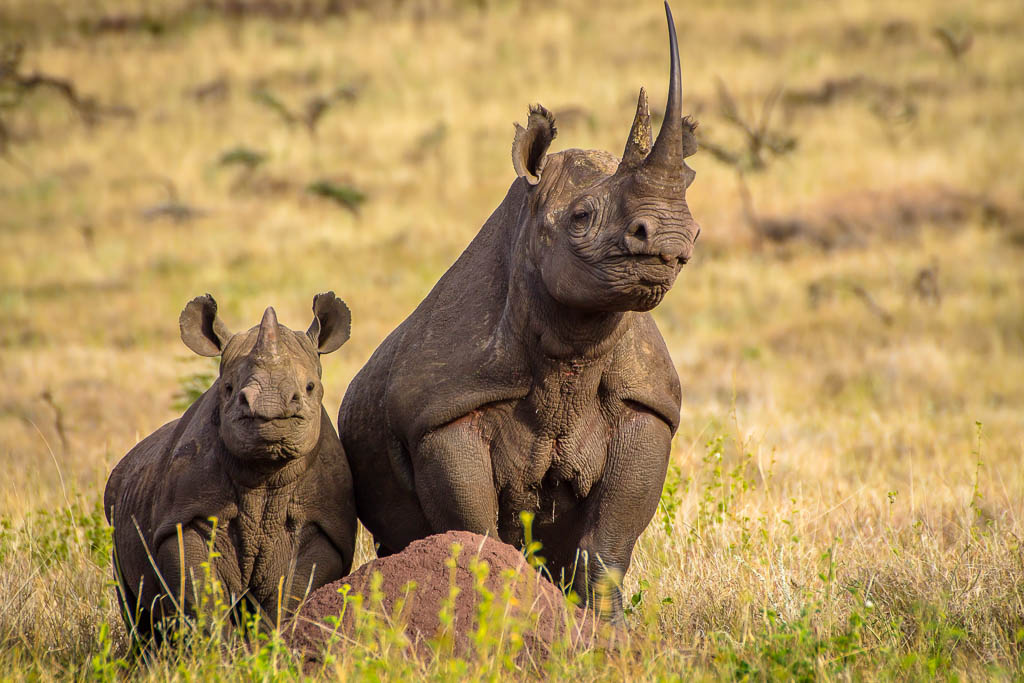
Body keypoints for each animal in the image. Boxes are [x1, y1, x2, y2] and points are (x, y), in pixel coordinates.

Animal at [103, 294, 358, 643]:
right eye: (228, 388)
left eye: (310, 387)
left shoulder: (322, 529)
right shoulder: (186, 519)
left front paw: (269, 647)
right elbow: (202, 597)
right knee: (136, 611)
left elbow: (289, 596)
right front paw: (216, 651)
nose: (268, 408)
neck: (265, 475)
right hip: (116, 502)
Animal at [339, 2, 700, 618]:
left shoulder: (647, 406)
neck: (572, 349)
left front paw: (606, 632)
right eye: (581, 218)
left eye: (696, 226)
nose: (674, 238)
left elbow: (607, 546)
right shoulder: (444, 413)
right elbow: (475, 533)